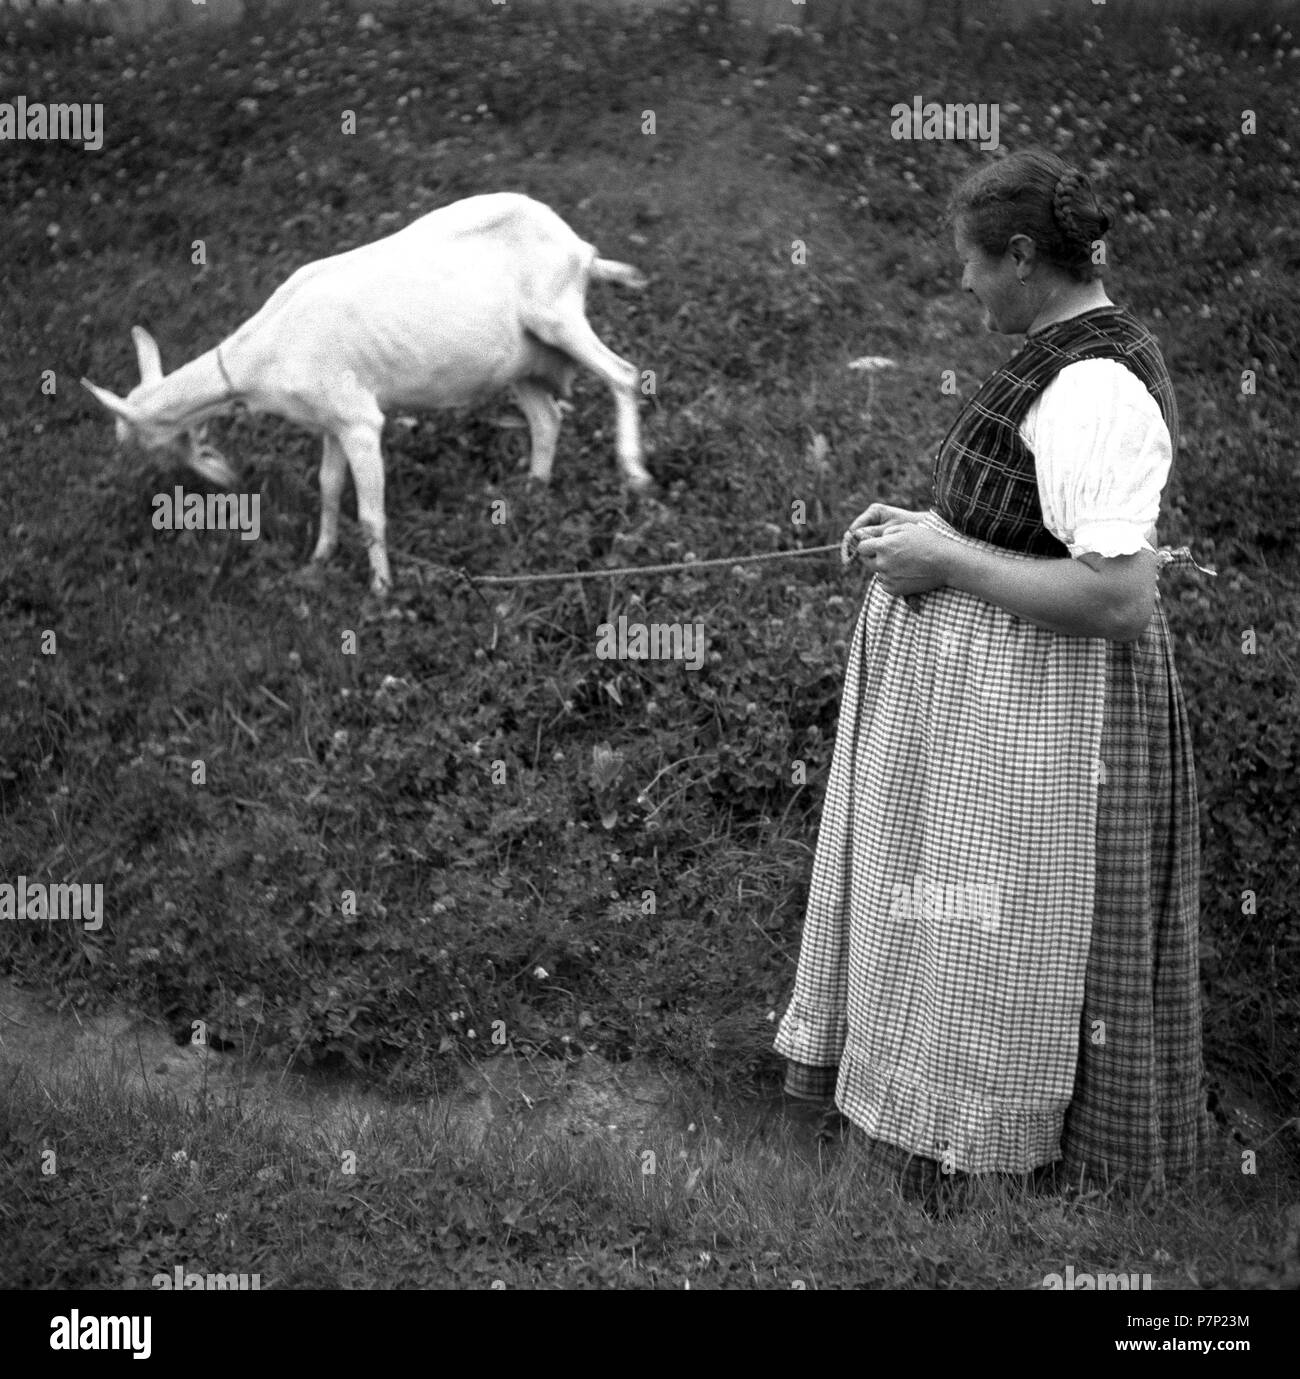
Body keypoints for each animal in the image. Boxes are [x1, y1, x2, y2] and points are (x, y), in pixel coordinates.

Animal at [83, 191, 650, 590]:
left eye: (137, 442)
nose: (228, 478)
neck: (264, 355)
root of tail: (581, 248)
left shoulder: (358, 419)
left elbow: (371, 513)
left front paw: (380, 589)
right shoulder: (329, 421)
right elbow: (329, 488)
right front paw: (318, 560)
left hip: (557, 318)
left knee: (623, 374)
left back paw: (635, 474)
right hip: (519, 360)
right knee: (547, 417)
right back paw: (533, 491)